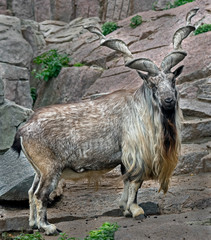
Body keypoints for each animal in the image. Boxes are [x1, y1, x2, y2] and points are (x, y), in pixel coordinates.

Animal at [11, 9, 198, 234]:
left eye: (172, 80)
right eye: (152, 84)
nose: (169, 100)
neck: (141, 109)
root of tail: (23, 130)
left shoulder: (126, 158)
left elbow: (127, 182)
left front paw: (125, 209)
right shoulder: (135, 154)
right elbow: (135, 182)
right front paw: (136, 211)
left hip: (38, 170)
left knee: (31, 192)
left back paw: (32, 224)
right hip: (50, 168)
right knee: (41, 195)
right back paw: (48, 227)